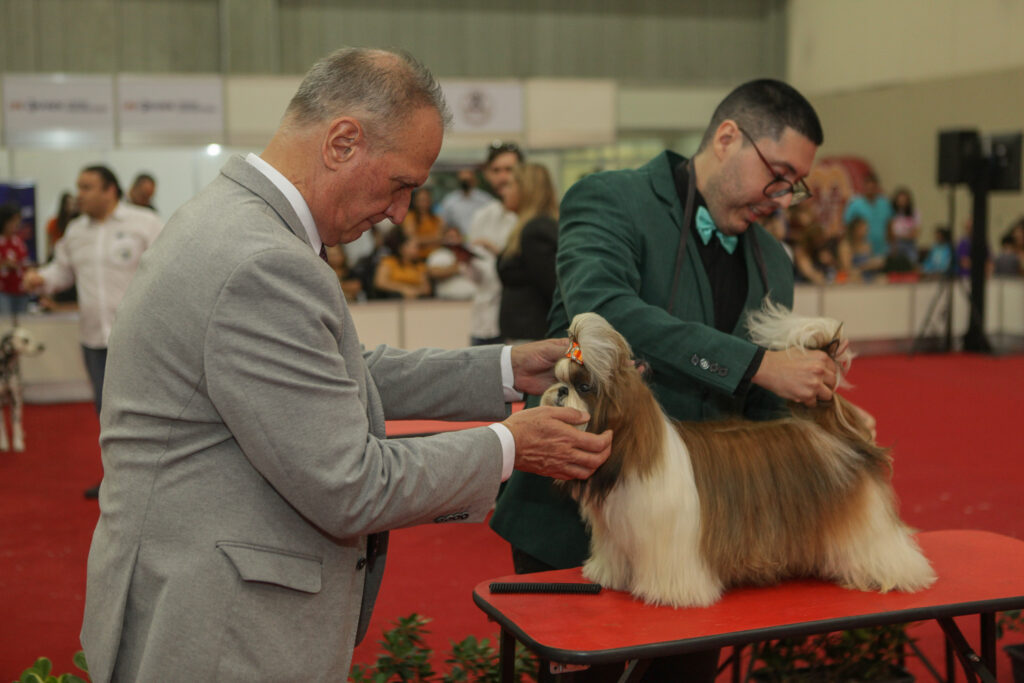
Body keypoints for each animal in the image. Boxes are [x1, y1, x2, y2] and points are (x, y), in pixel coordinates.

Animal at [544, 305, 937, 610]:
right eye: (559, 378)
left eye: (584, 387)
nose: (559, 390)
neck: (632, 451)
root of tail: (827, 433)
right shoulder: (616, 534)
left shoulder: (668, 540)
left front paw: (670, 594)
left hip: (863, 521)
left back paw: (896, 573)